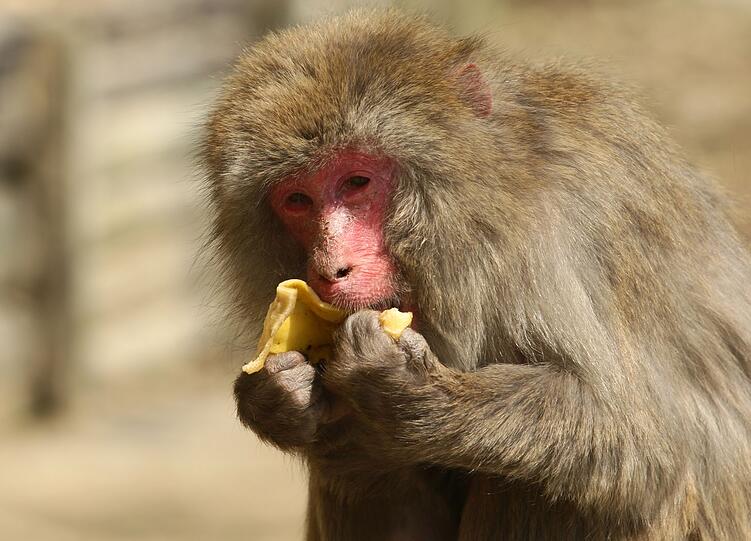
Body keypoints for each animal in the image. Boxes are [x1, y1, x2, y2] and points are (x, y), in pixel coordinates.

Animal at [201, 9, 751, 540]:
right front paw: (280, 400)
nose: (331, 269)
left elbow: (645, 443)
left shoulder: (559, 233)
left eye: (356, 182)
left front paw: (403, 388)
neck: (486, 208)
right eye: (298, 199)